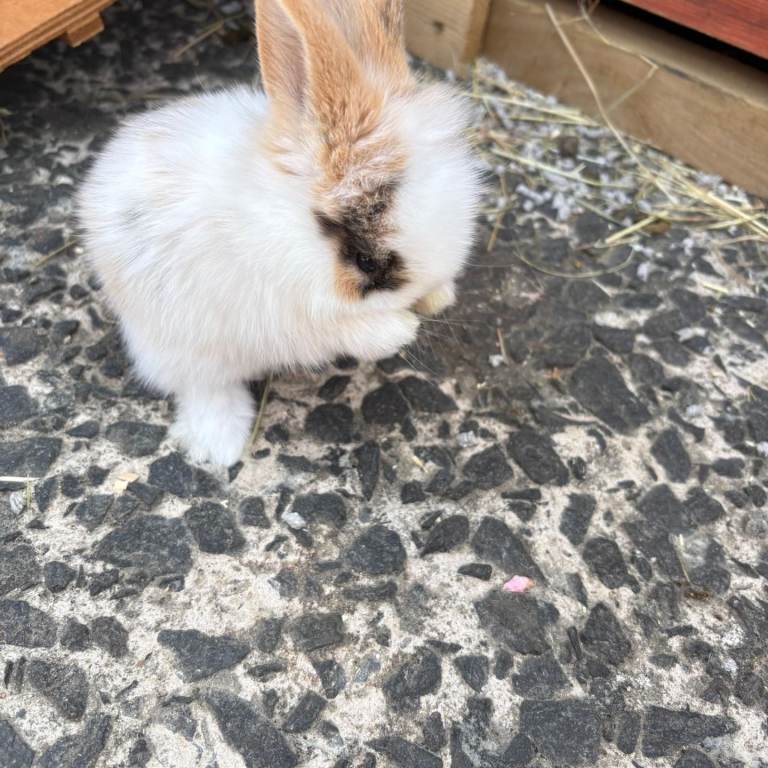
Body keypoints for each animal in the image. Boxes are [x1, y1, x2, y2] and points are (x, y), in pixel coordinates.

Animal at [78, 0, 482, 467]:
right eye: (367, 261)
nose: (423, 302)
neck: (286, 225)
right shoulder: (285, 316)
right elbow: (347, 331)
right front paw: (401, 330)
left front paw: (437, 299)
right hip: (177, 347)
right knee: (202, 388)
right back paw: (221, 447)